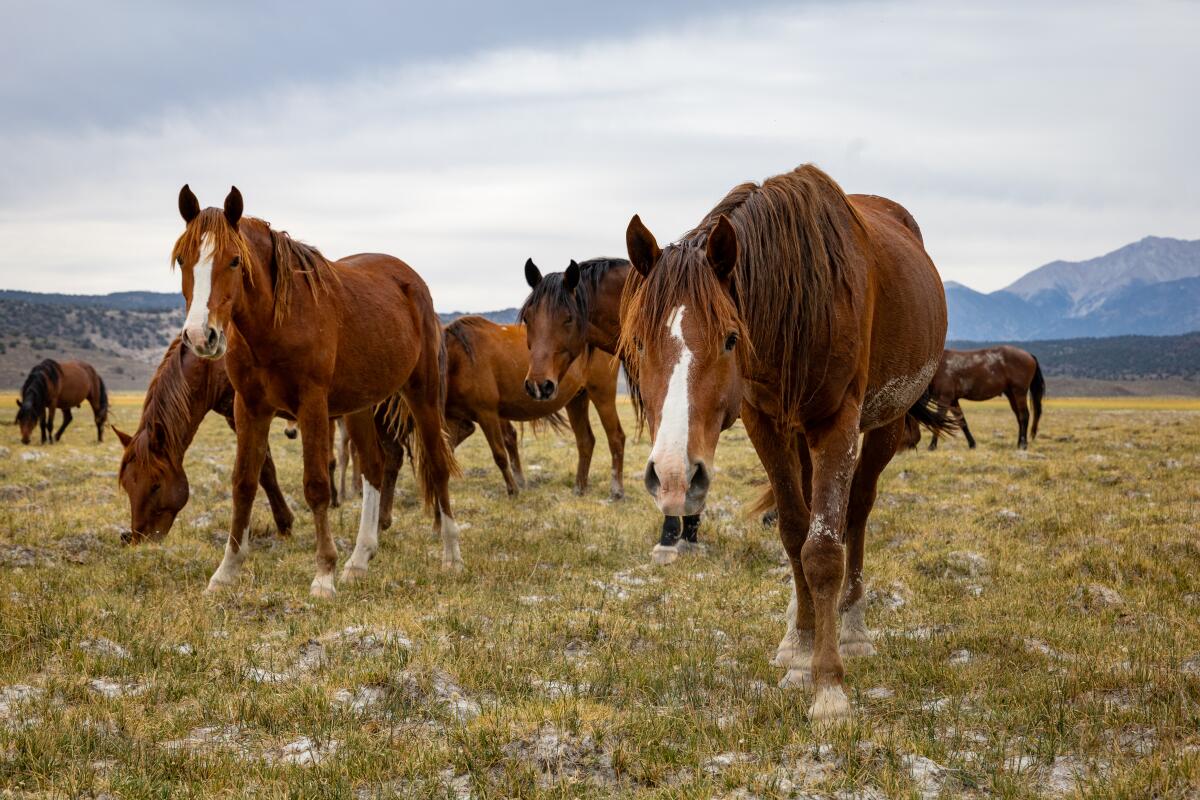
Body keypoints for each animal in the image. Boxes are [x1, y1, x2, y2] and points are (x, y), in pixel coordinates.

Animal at [172, 185, 460, 597]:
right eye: (182, 259)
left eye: (234, 261)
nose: (200, 336)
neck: (276, 324)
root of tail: (412, 282)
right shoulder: (249, 408)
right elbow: (244, 484)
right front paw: (225, 573)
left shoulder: (312, 406)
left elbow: (317, 486)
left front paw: (324, 574)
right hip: (359, 406)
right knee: (373, 467)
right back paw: (359, 560)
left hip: (422, 393)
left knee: (437, 465)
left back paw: (451, 556)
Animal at [443, 315, 623, 497]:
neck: (459, 359)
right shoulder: (454, 417)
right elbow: (447, 448)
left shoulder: (486, 413)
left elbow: (500, 454)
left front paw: (513, 490)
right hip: (577, 399)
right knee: (585, 441)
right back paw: (579, 488)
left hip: (602, 395)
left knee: (616, 437)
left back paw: (616, 491)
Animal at [619, 164, 953, 721]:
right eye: (641, 342)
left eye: (731, 338)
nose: (674, 474)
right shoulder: (765, 423)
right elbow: (796, 534)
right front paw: (799, 649)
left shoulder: (838, 423)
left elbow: (824, 550)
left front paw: (829, 685)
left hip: (885, 422)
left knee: (856, 514)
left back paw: (853, 626)